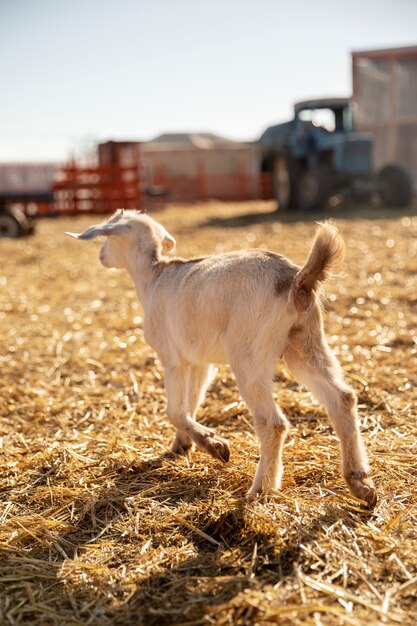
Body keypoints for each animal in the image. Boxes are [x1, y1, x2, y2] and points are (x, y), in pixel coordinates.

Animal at [66, 207, 376, 504]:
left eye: (109, 234)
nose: (102, 256)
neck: (154, 276)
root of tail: (294, 280)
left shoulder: (172, 357)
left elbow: (174, 410)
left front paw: (216, 447)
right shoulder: (199, 362)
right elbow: (190, 403)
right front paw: (183, 445)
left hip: (249, 353)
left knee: (273, 423)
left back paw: (260, 490)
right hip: (305, 343)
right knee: (342, 398)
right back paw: (360, 484)